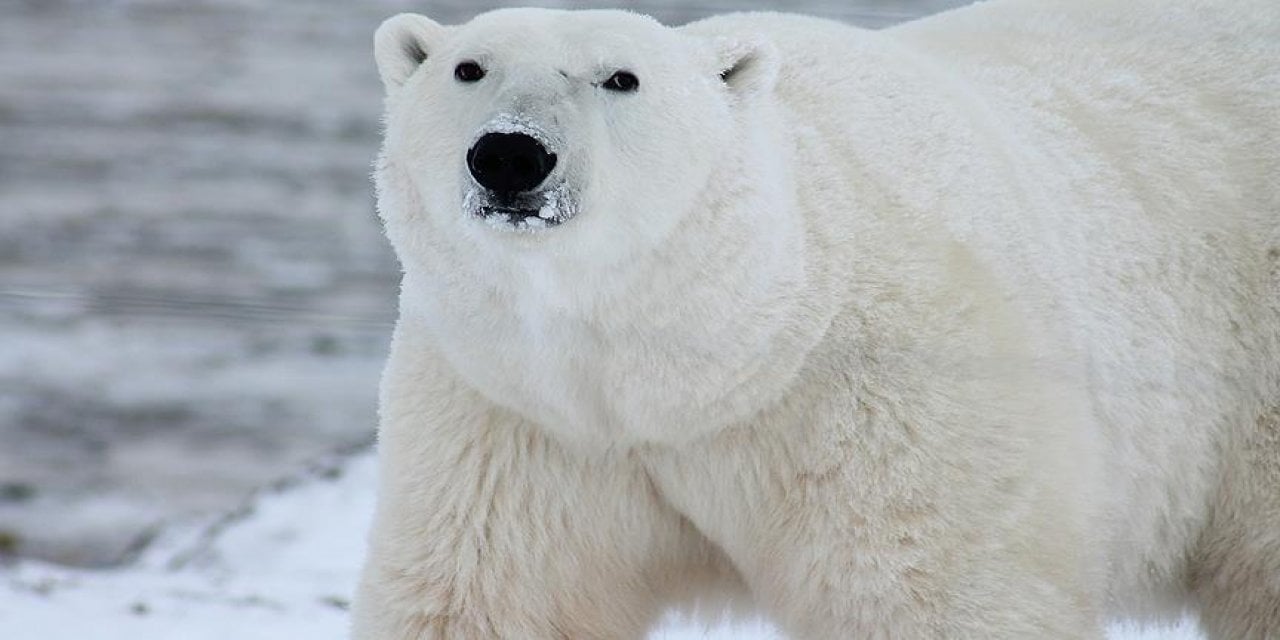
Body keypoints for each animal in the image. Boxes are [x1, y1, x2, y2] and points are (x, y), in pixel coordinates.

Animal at [353, 2, 1280, 637]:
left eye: (621, 77)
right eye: (469, 68)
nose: (510, 155)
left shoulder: (888, 399)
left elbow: (935, 592)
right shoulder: (519, 416)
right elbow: (489, 596)